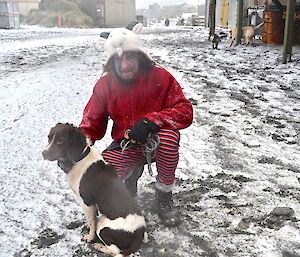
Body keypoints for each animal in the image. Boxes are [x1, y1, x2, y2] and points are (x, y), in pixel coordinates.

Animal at [42, 122, 148, 256]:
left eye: (60, 141)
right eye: (49, 137)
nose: (43, 153)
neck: (80, 158)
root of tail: (139, 233)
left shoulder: (87, 202)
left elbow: (92, 222)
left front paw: (89, 237)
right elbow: (90, 219)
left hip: (104, 227)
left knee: (115, 250)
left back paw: (98, 246)